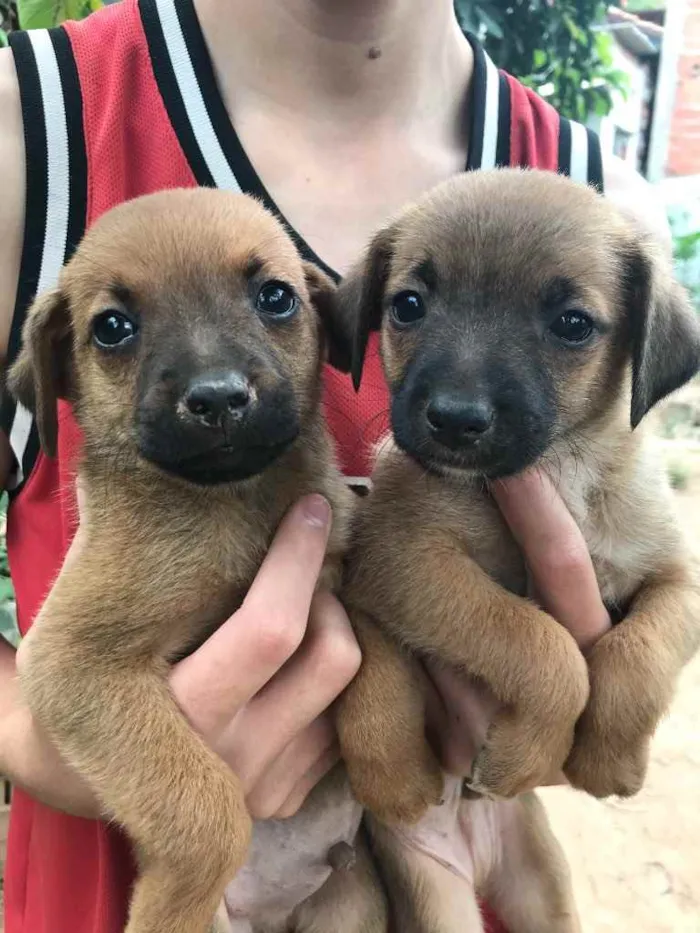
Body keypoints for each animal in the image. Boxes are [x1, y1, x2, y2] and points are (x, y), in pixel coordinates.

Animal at [5, 187, 388, 932]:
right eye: (113, 327)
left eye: (275, 296)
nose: (218, 398)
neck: (234, 505)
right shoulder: (74, 662)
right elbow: (205, 811)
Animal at [334, 167, 700, 932]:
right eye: (408, 305)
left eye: (572, 323)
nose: (454, 418)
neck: (563, 472)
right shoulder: (412, 561)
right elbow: (540, 646)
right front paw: (525, 755)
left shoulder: (679, 578)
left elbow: (638, 652)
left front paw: (611, 762)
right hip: (437, 898)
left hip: (545, 890)